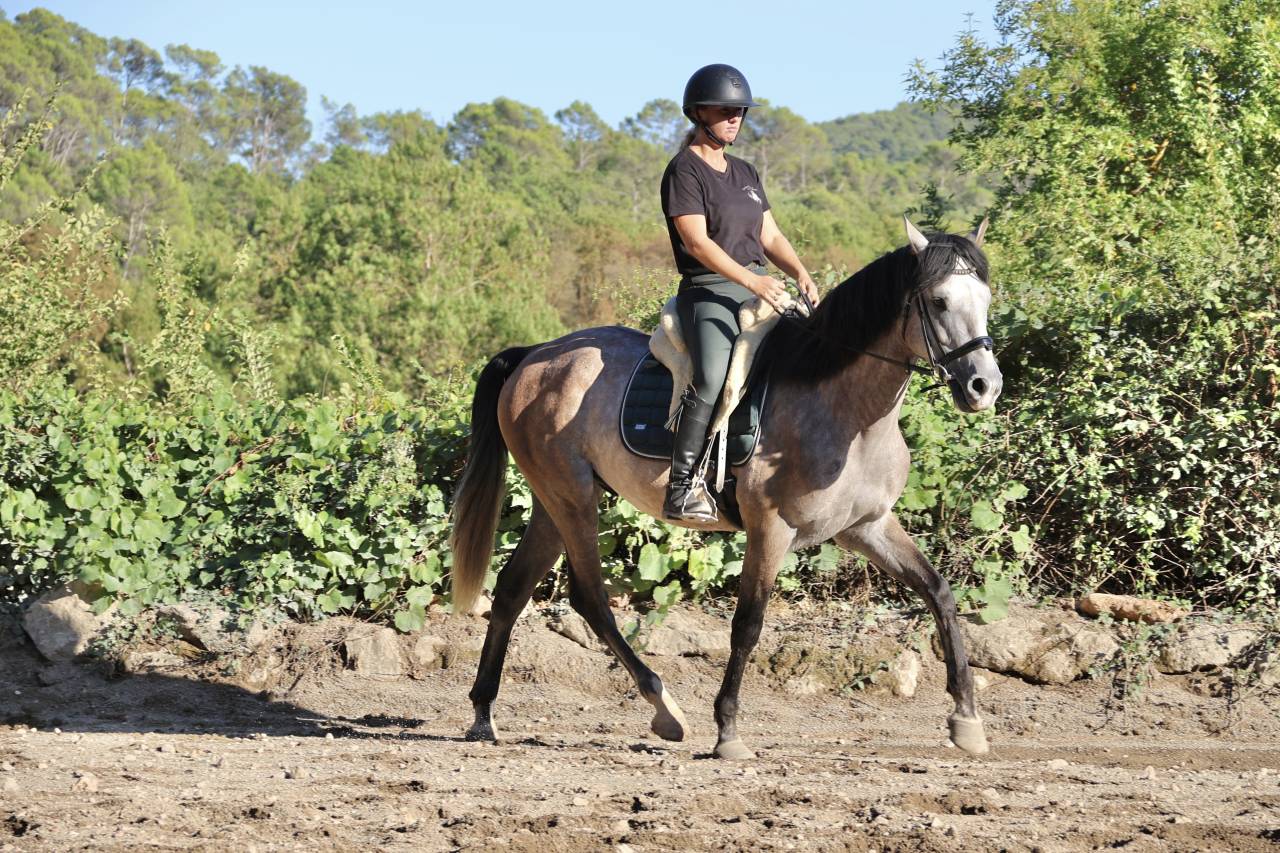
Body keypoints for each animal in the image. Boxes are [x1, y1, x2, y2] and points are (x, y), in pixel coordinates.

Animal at [448, 217, 1002, 759]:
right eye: (939, 301)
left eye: (986, 299)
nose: (984, 387)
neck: (848, 413)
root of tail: (535, 355)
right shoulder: (771, 528)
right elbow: (748, 624)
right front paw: (728, 730)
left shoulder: (867, 527)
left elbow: (938, 592)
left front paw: (967, 721)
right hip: (574, 498)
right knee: (591, 599)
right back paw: (665, 708)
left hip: (552, 501)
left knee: (512, 589)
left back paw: (483, 714)